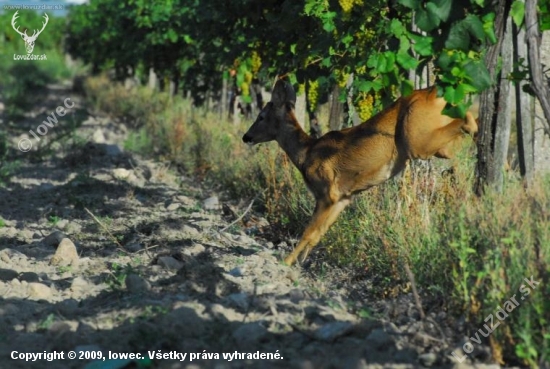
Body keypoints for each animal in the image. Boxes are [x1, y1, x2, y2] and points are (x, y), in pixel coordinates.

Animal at [243, 80, 478, 264]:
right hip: (433, 142)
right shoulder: (343, 198)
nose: (246, 136)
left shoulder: (327, 192)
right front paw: (301, 262)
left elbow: (308, 232)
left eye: (261, 116)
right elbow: (317, 234)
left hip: (415, 138)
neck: (306, 153)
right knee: (455, 142)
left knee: (464, 123)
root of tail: (433, 91)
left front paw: (287, 262)